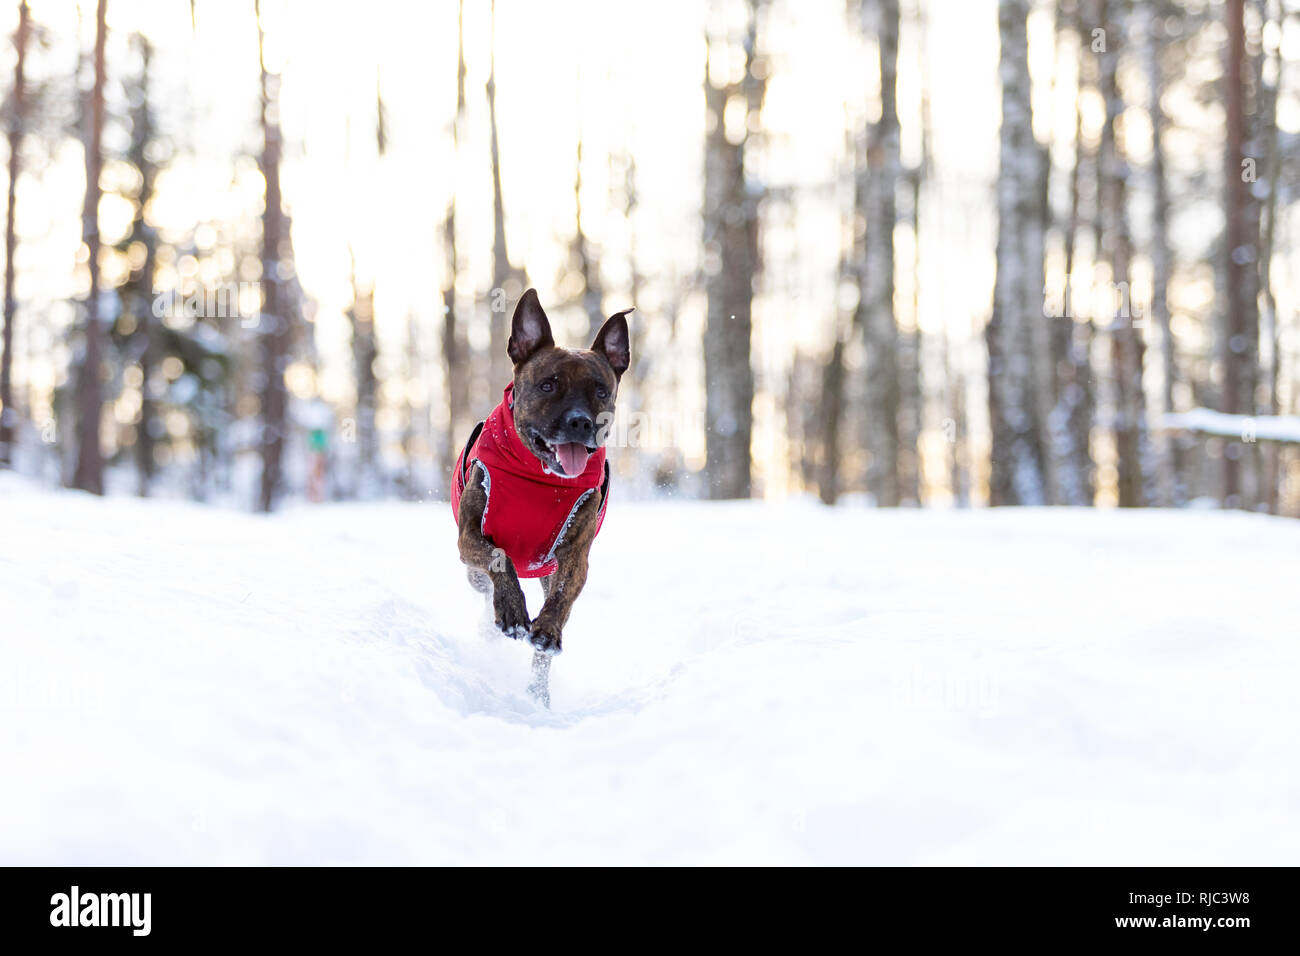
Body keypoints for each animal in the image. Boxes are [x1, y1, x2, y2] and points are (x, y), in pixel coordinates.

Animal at [457, 290, 629, 702]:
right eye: (548, 385)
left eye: (601, 391)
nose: (581, 421)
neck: (538, 477)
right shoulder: (469, 536)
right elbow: (499, 556)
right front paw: (511, 611)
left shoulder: (574, 557)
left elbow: (562, 597)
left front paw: (547, 631)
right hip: (473, 574)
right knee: (484, 584)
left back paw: (538, 694)